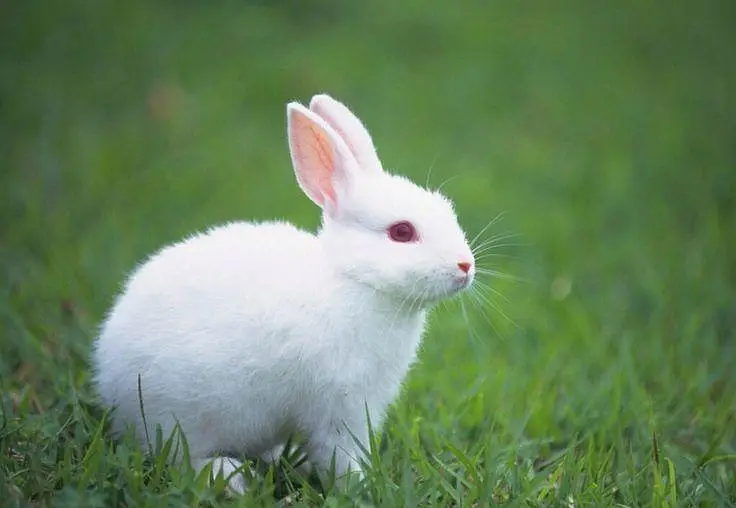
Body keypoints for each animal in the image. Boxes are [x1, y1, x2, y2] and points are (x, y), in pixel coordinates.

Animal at [92, 94, 476, 493]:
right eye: (402, 232)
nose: (466, 265)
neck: (354, 280)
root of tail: (109, 382)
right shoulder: (340, 407)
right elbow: (340, 455)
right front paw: (361, 487)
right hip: (181, 415)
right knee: (183, 458)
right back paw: (232, 478)